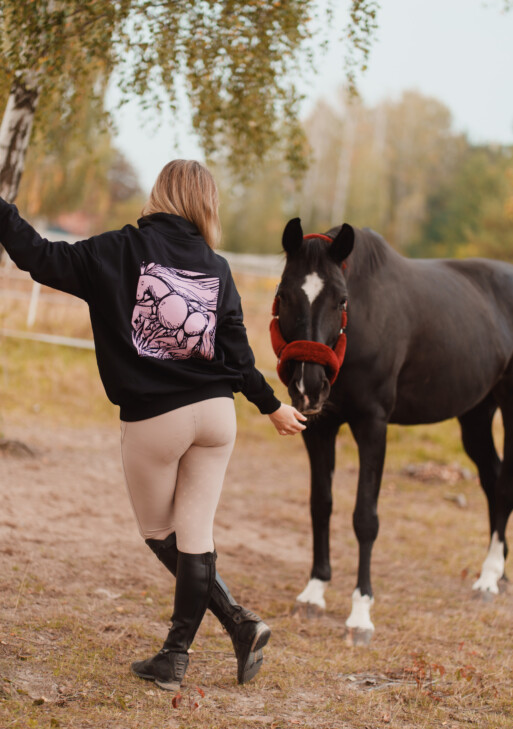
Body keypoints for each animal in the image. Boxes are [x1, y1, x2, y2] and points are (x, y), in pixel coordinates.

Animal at [271, 217, 513, 644]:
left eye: (342, 301)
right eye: (284, 295)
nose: (309, 385)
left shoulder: (373, 425)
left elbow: (365, 518)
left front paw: (360, 614)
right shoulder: (318, 427)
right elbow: (321, 504)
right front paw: (314, 593)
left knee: (504, 485)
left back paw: (487, 578)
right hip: (476, 415)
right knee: (492, 478)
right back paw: (497, 575)